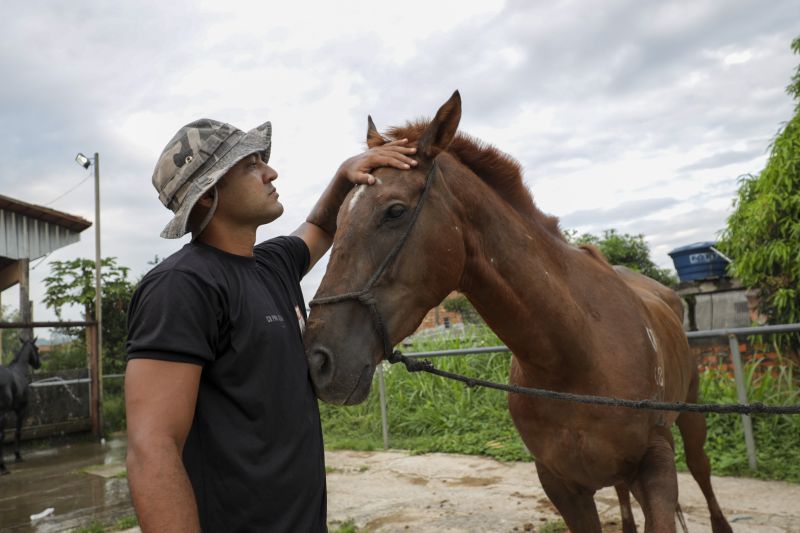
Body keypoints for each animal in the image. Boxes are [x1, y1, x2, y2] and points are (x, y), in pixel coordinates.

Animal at [0, 338, 40, 472]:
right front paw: (18, 456)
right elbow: (18, 432)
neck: (19, 370)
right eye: (37, 348)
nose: (39, 364)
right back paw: (3, 467)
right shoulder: (21, 409)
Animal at [304, 92, 732, 532]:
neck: (576, 358)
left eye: (395, 211)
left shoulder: (656, 467)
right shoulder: (561, 485)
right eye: (337, 218)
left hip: (691, 418)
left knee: (701, 468)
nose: (318, 361)